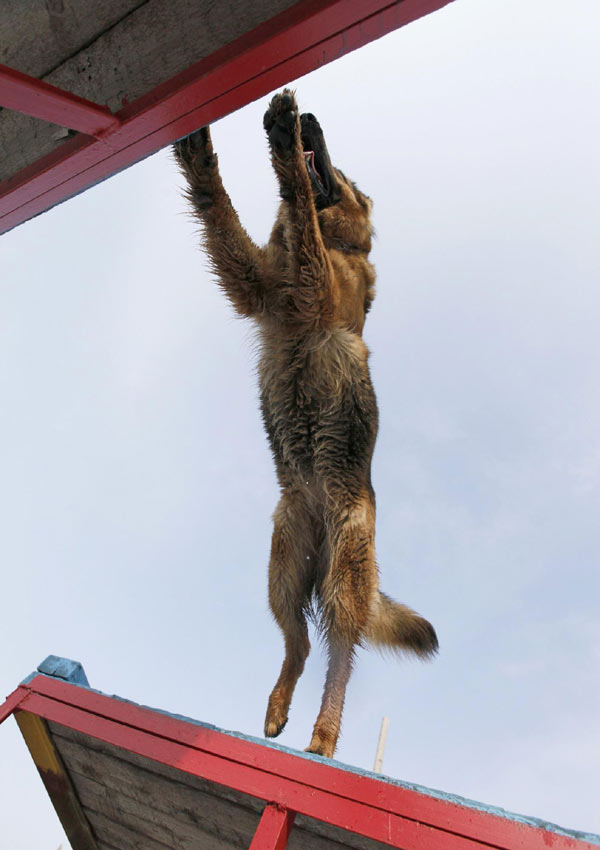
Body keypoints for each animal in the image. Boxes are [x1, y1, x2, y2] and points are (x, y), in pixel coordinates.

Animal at [173, 91, 436, 756]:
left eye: (346, 177)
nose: (310, 118)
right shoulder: (255, 286)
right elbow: (222, 216)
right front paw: (201, 158)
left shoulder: (310, 288)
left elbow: (299, 210)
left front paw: (284, 147)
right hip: (283, 573)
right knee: (299, 644)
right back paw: (276, 710)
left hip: (343, 574)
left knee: (341, 653)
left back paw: (324, 733)